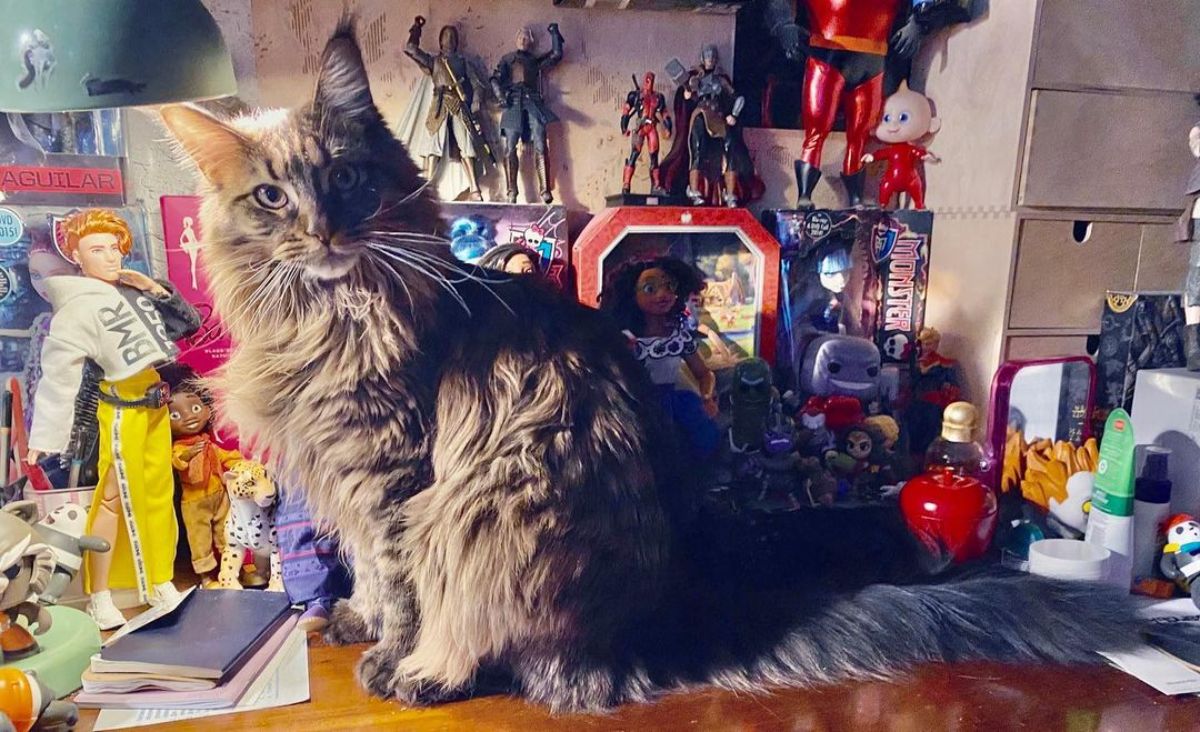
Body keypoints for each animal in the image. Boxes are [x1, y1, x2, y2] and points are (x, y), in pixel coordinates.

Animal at [157, 19, 1132, 710]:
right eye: (271, 198)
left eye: (348, 180)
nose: (324, 232)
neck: (330, 320)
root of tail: (645, 630)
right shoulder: (343, 477)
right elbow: (360, 566)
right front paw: (349, 618)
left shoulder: (395, 476)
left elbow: (399, 588)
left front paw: (389, 652)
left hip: (483, 513)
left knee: (497, 649)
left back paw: (428, 674)